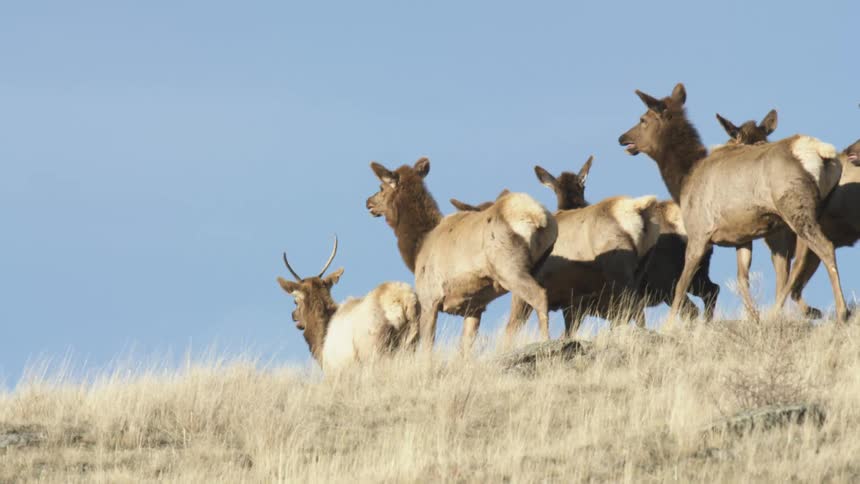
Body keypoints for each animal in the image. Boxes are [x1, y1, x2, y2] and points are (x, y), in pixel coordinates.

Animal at [276, 236, 420, 370]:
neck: (321, 342)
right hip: (411, 343)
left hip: (375, 350)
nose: (293, 315)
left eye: (295, 301)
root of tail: (402, 301)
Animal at [366, 157, 558, 351]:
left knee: (538, 297)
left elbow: (427, 346)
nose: (368, 202)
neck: (418, 248)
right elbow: (465, 347)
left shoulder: (429, 298)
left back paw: (544, 341)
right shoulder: (474, 306)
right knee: (520, 315)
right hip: (535, 266)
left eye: (381, 187)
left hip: (509, 267)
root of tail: (537, 216)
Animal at [618, 83, 848, 323]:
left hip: (794, 207)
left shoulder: (699, 232)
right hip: (815, 209)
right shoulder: (742, 236)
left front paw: (669, 325)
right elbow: (741, 278)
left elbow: (681, 285)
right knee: (803, 259)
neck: (683, 180)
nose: (622, 138)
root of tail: (823, 153)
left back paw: (840, 311)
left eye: (643, 119)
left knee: (823, 248)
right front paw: (754, 317)